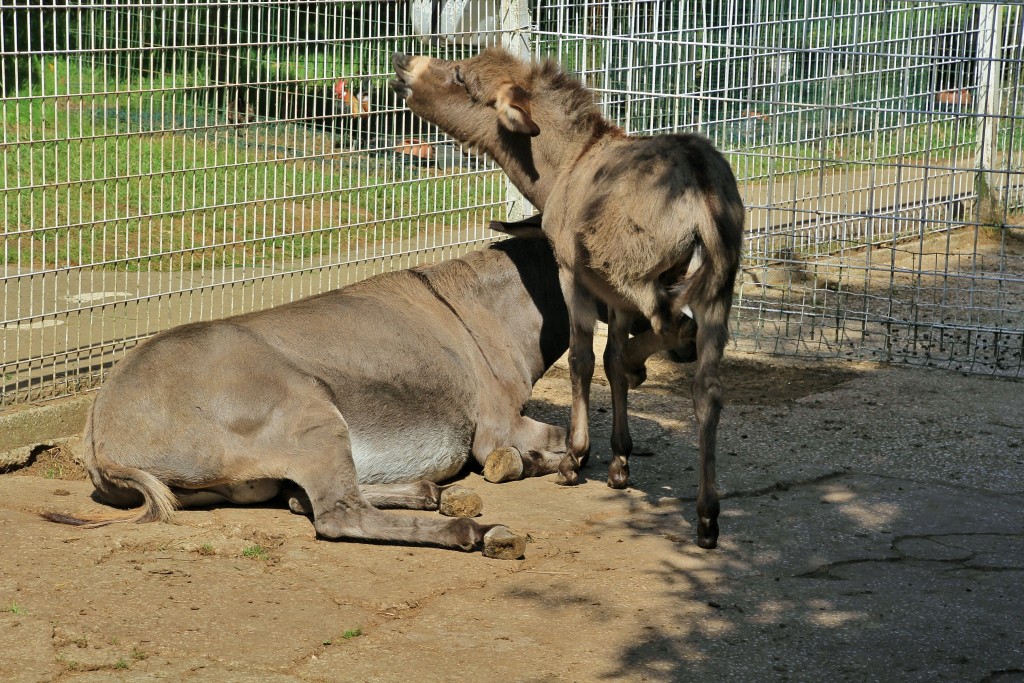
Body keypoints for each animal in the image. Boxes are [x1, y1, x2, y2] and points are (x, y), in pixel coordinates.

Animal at [44, 237, 585, 557]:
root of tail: (100, 435)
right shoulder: (498, 425)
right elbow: (569, 440)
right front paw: (542, 464)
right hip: (313, 414)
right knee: (335, 515)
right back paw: (476, 531)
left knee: (301, 498)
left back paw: (427, 493)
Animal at [391, 49, 745, 548]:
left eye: (461, 76)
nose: (403, 60)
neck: (569, 163)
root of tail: (698, 176)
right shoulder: (611, 295)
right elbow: (610, 359)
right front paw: (619, 462)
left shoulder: (575, 275)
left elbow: (583, 359)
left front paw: (577, 458)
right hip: (717, 284)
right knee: (706, 387)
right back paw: (707, 517)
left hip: (637, 276)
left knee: (675, 327)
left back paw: (647, 364)